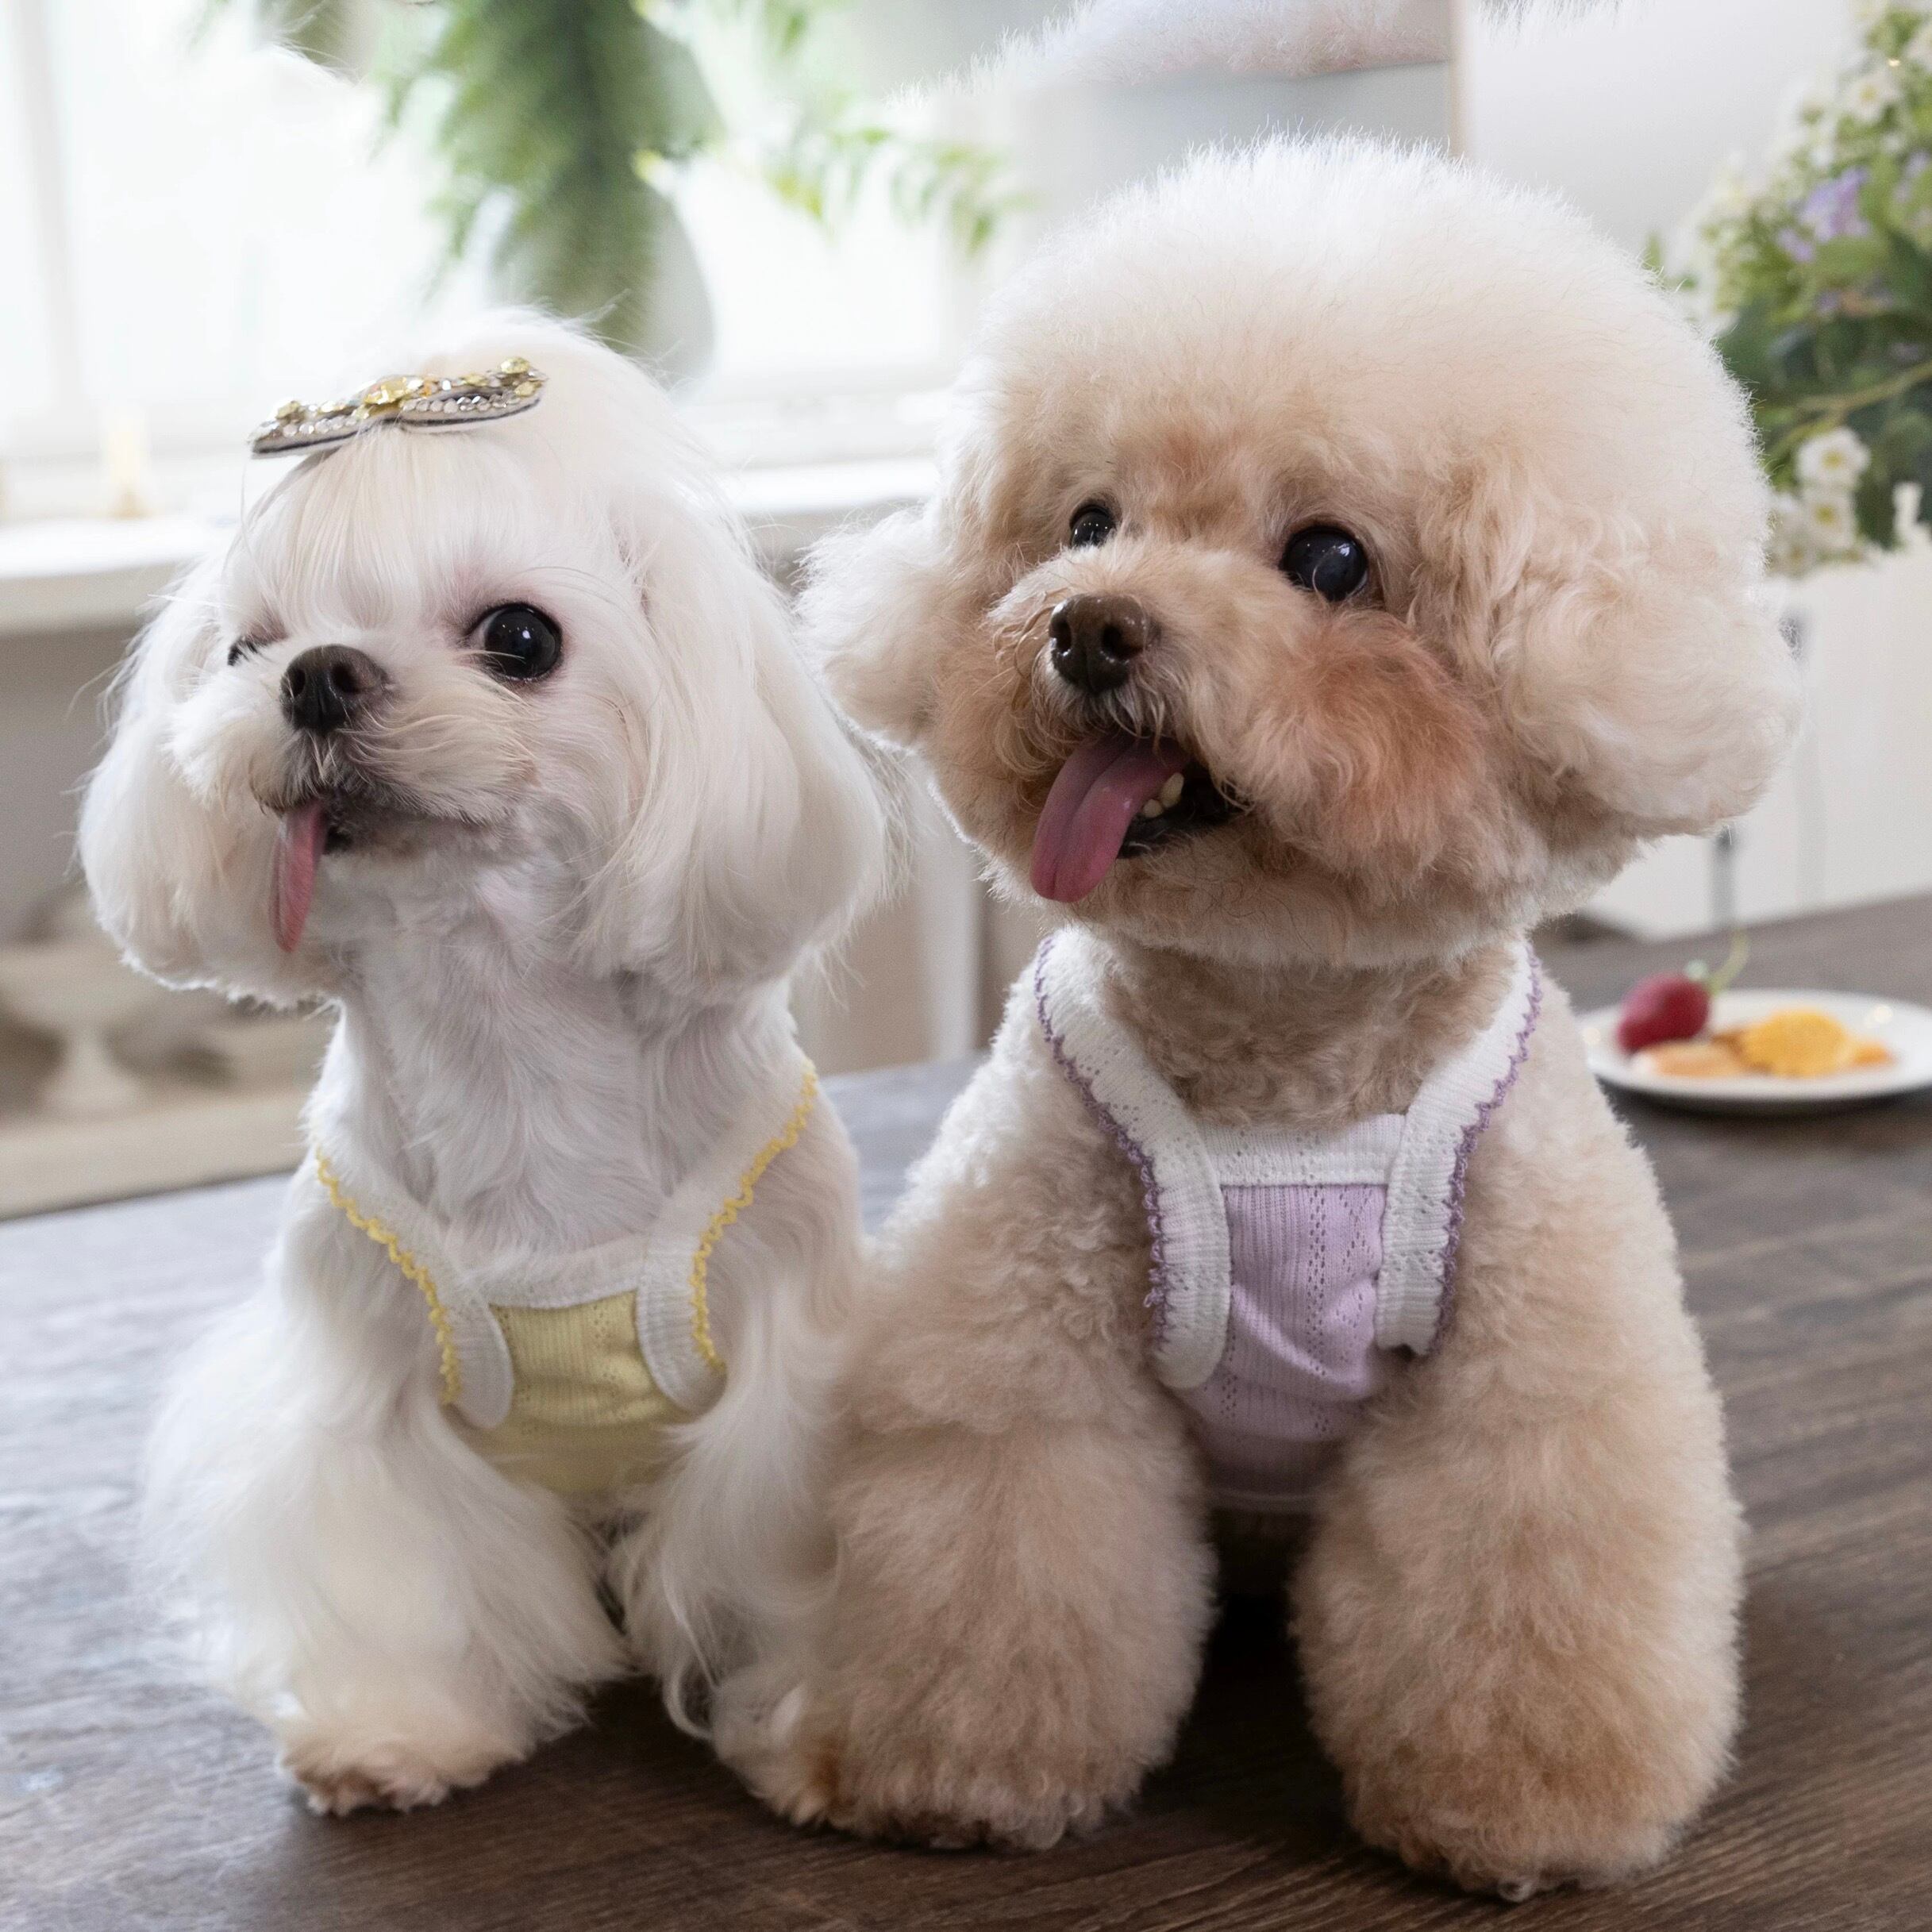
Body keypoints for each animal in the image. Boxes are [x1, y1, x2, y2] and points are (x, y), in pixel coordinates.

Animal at [80, 317, 886, 1812]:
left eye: (520, 637)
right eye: (245, 646)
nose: (317, 672)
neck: (505, 1028)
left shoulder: (793, 1382)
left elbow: (785, 1564)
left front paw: (817, 1730)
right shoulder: (363, 1396)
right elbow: (394, 1563)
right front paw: (397, 1731)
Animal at [730, 139, 1800, 1897]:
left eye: (1329, 560)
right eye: (1086, 519)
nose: (1087, 621)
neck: (1284, 1058)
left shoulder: (1518, 1389)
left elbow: (1518, 1567)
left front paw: (1524, 1811)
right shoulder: (1022, 1358)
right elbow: (999, 1560)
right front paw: (953, 1773)